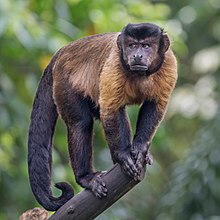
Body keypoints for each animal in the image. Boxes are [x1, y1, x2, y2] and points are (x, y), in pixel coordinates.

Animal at [27, 22, 177, 211]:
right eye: (131, 45)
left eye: (146, 46)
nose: (137, 55)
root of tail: (61, 52)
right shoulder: (114, 63)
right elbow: (111, 109)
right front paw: (123, 155)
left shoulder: (169, 64)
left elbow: (155, 106)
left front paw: (141, 148)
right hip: (63, 81)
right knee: (80, 123)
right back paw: (86, 177)